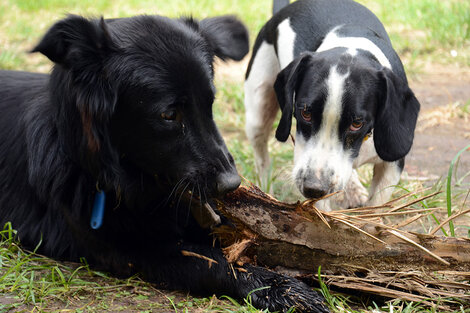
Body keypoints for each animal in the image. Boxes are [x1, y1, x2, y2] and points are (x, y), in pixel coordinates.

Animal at [0, 13, 328, 310]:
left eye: (209, 105)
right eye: (169, 114)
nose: (231, 185)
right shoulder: (136, 250)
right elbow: (215, 262)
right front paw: (281, 289)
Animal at [244, 0, 420, 210]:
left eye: (357, 123)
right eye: (305, 113)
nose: (314, 187)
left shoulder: (392, 162)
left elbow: (377, 205)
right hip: (258, 113)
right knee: (261, 156)